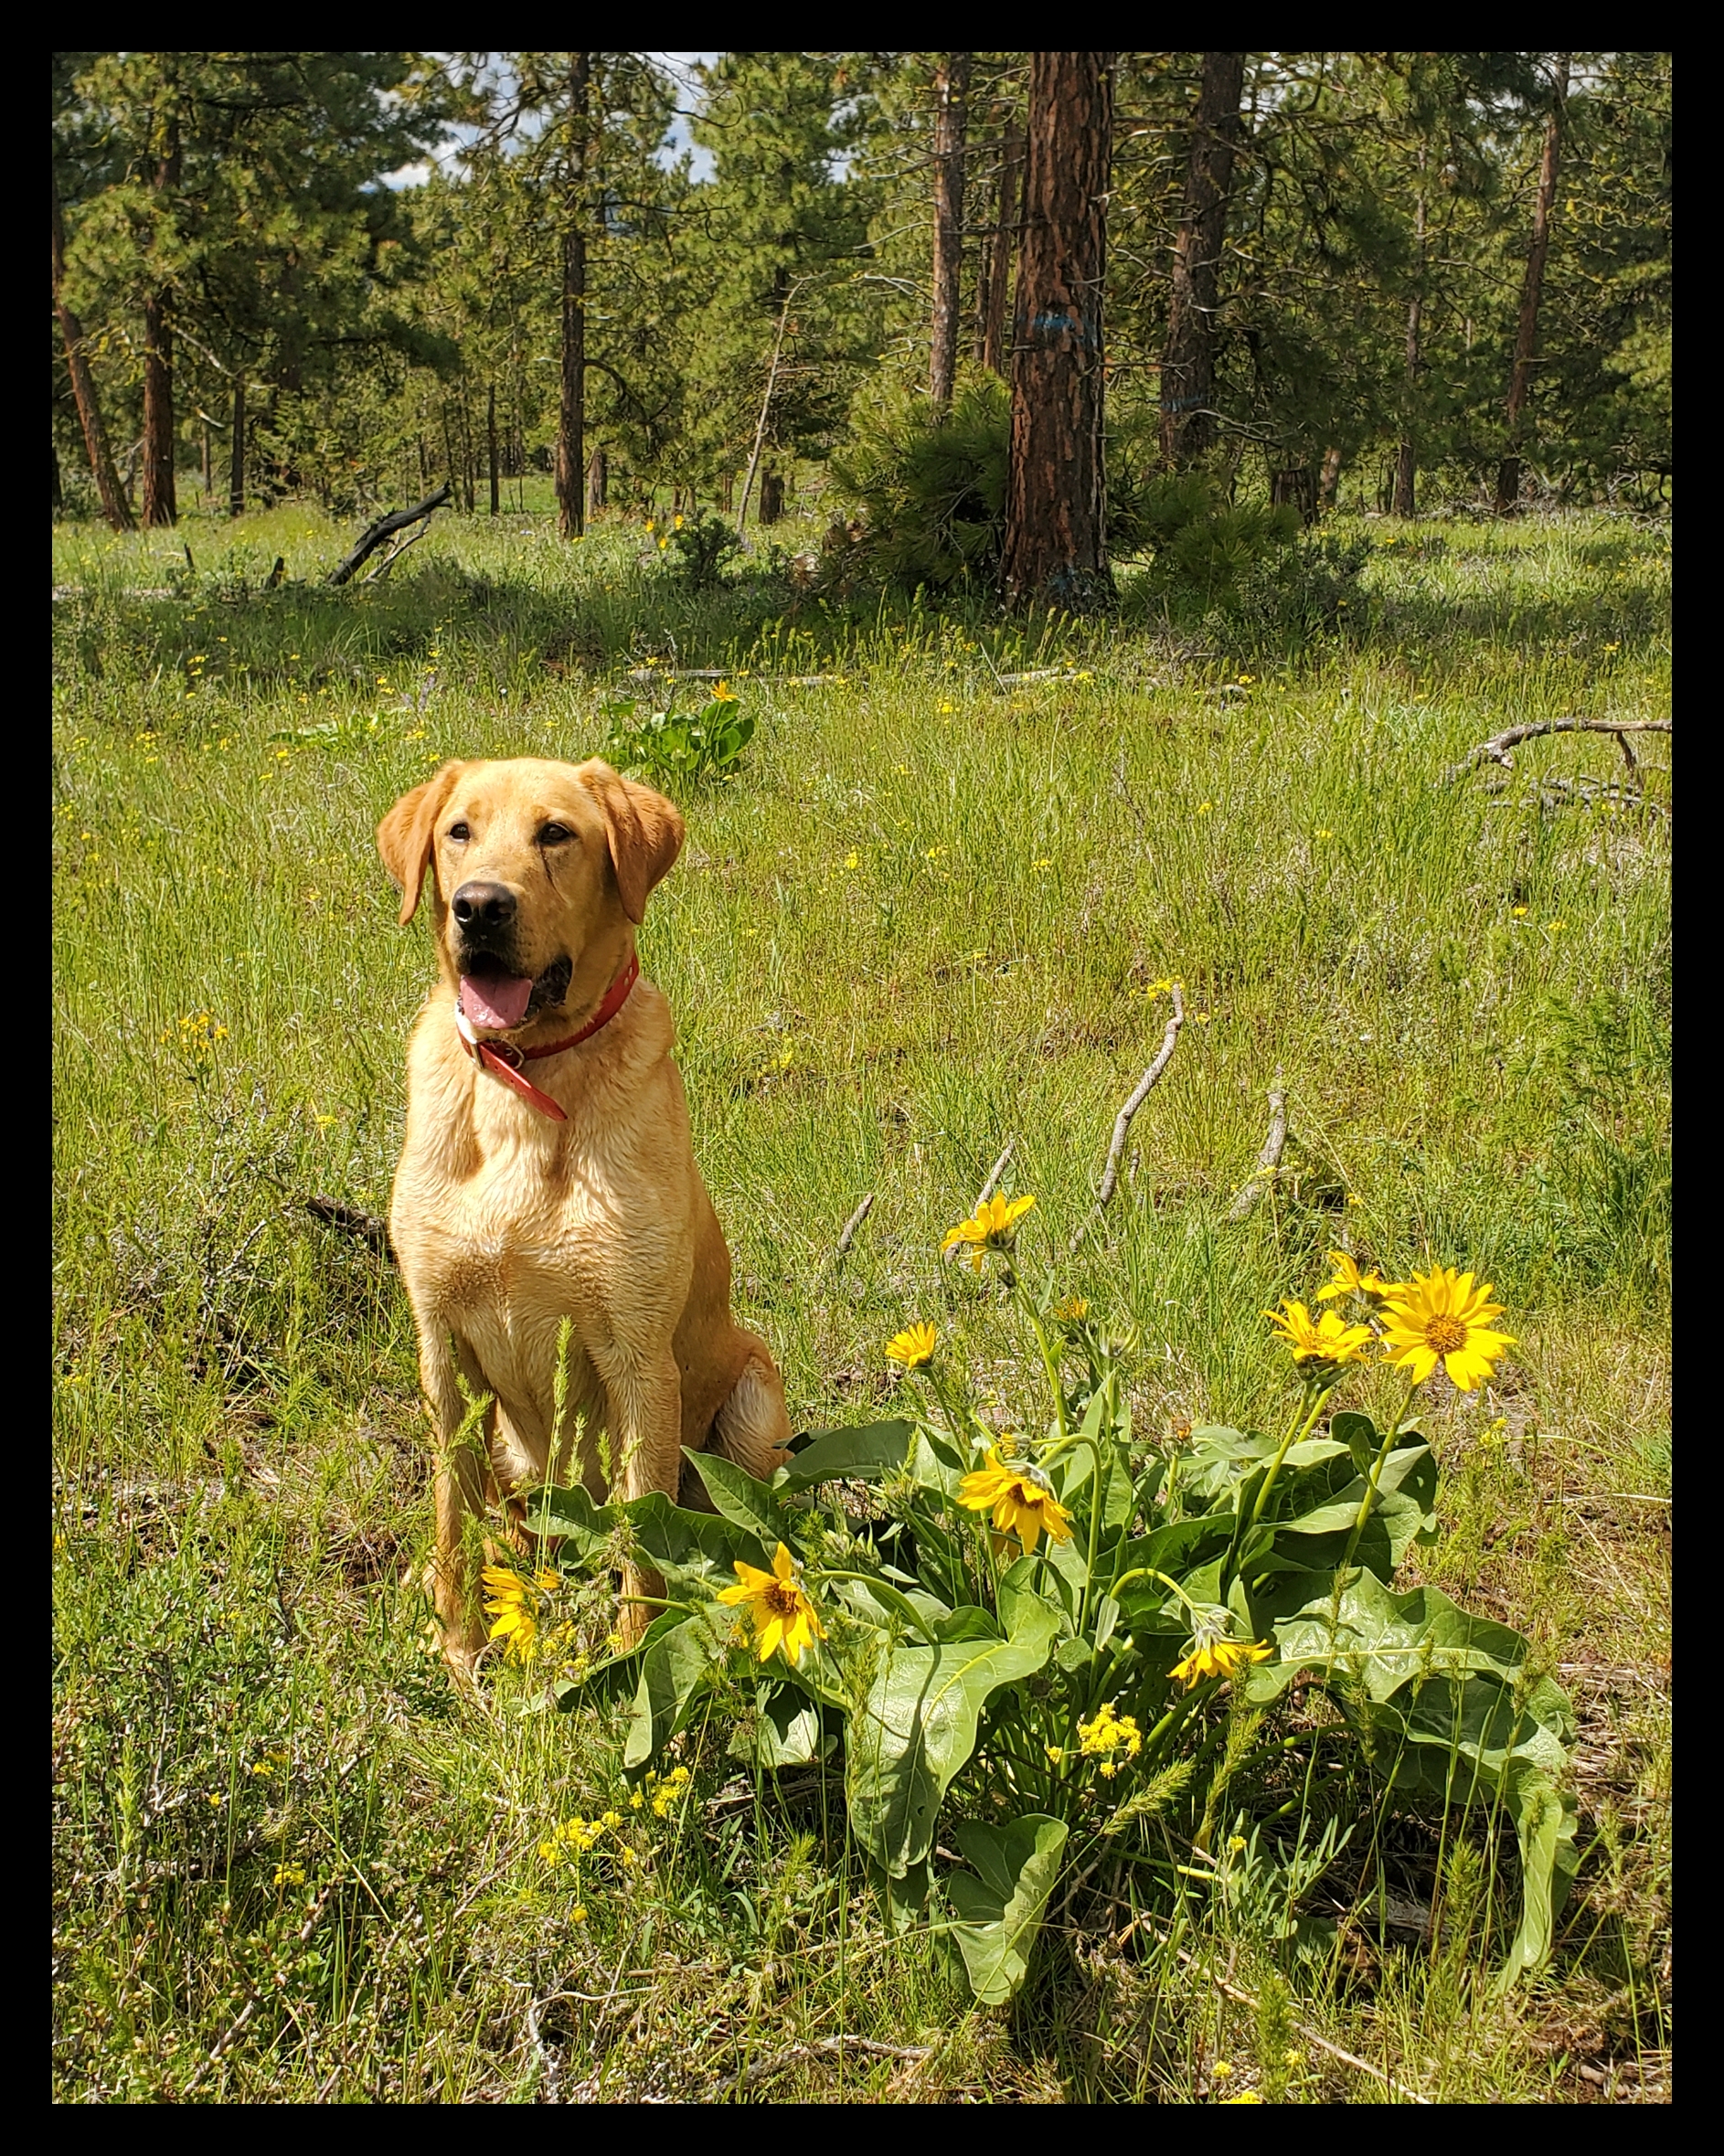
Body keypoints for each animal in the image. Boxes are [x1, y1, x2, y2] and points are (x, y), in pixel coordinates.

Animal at [381, 763, 793, 1682]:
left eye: (556, 834)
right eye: (458, 831)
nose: (480, 907)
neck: (525, 1079)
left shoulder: (637, 1357)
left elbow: (643, 1540)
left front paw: (632, 1661)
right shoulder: (444, 1351)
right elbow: (451, 1520)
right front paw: (460, 1649)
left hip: (754, 1402)